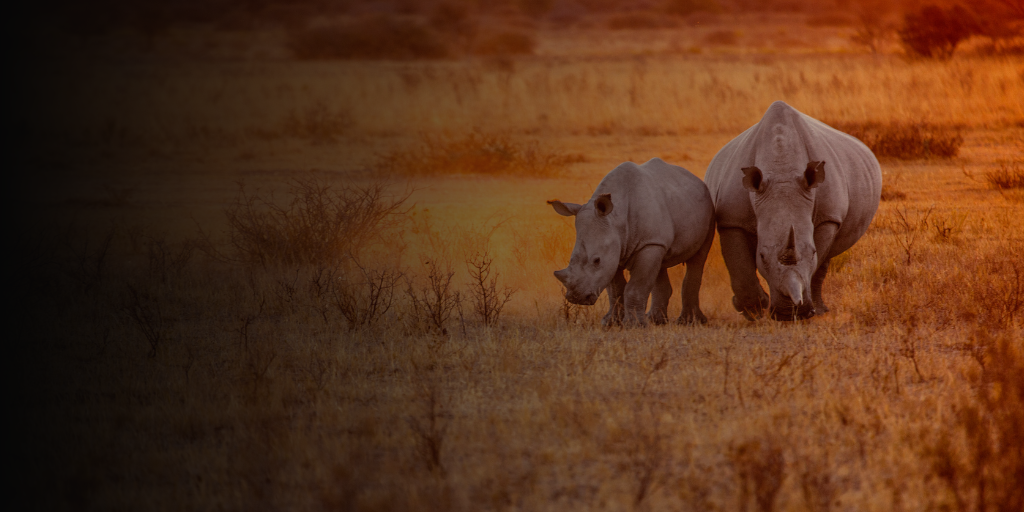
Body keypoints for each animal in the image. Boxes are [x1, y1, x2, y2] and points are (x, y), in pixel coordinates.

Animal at [548, 158, 715, 326]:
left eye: (596, 260)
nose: (576, 298)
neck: (615, 219)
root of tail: (697, 179)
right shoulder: (616, 248)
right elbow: (615, 289)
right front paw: (611, 323)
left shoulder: (648, 243)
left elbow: (635, 287)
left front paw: (634, 325)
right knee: (660, 263)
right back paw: (656, 320)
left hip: (708, 210)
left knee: (698, 259)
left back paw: (689, 322)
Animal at [705, 101, 882, 320]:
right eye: (762, 256)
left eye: (812, 252)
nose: (789, 314)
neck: (781, 171)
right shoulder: (731, 219)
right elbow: (739, 264)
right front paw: (753, 310)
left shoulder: (828, 217)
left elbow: (817, 260)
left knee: (827, 257)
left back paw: (820, 310)